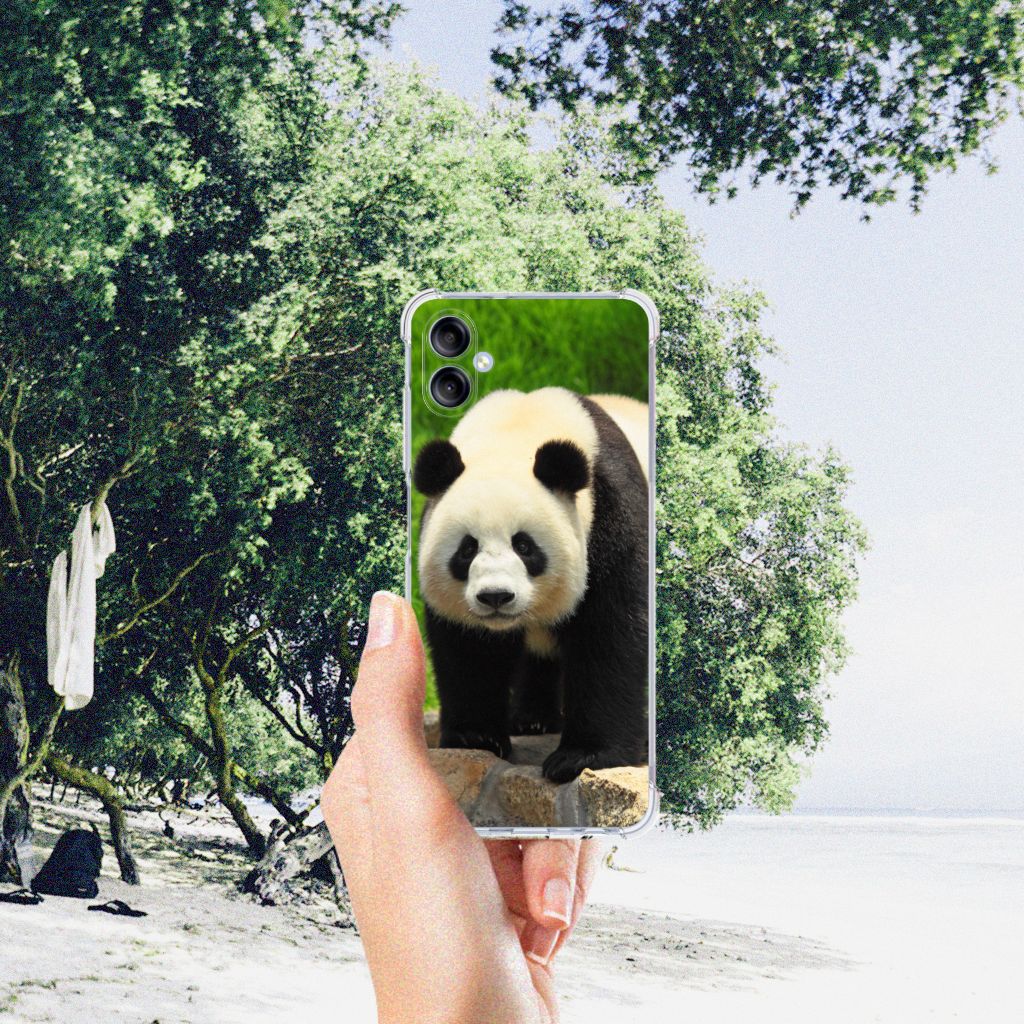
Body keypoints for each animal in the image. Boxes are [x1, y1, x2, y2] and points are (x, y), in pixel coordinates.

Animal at [412, 386, 649, 783]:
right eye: (467, 548)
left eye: (524, 546)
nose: (495, 596)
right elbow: (469, 648)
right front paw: (476, 737)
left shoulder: (612, 514)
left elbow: (612, 633)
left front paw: (581, 756)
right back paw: (532, 719)